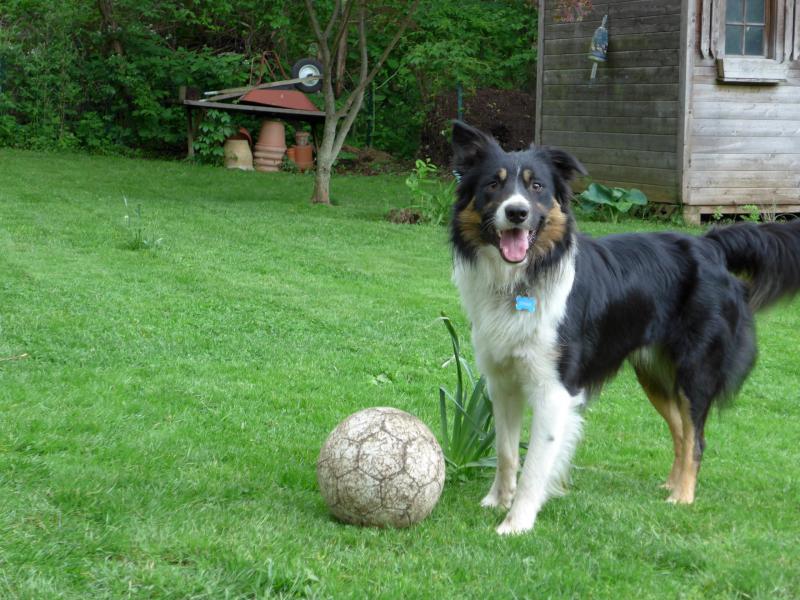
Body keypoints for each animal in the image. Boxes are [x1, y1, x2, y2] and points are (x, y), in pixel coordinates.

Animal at [450, 120, 800, 536]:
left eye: (537, 187)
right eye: (493, 184)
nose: (517, 212)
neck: (522, 279)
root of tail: (710, 246)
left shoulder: (555, 390)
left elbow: (535, 464)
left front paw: (517, 523)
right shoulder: (502, 381)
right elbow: (505, 452)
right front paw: (496, 501)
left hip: (695, 371)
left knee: (697, 438)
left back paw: (683, 496)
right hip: (654, 374)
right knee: (681, 431)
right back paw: (672, 484)